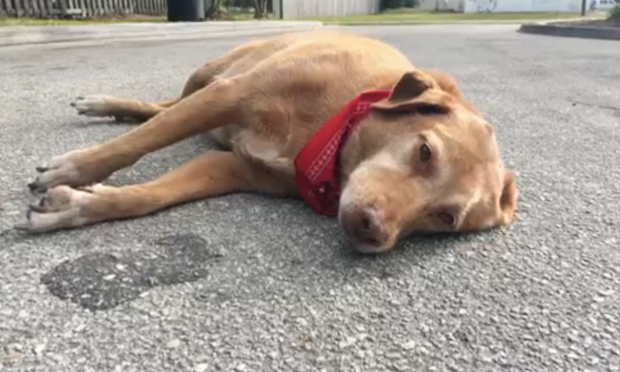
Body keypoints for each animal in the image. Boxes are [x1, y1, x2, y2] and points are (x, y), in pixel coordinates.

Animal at [15, 30, 520, 254]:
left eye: (445, 217)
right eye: (425, 152)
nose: (373, 232)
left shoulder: (228, 167)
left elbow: (149, 196)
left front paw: (75, 206)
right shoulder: (228, 94)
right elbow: (136, 143)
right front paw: (74, 170)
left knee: (161, 112)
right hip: (210, 74)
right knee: (161, 110)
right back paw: (109, 105)